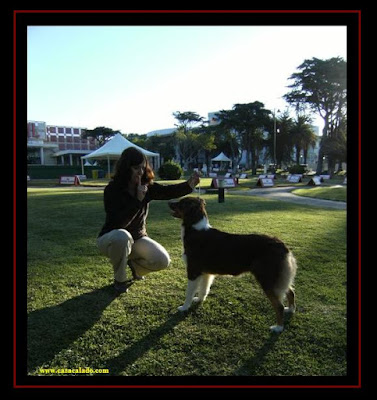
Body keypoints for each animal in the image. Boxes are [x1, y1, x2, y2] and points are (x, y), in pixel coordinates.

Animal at [168, 195, 296, 332]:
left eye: (181, 203)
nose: (168, 202)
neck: (195, 229)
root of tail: (282, 245)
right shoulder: (206, 272)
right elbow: (204, 289)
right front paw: (199, 300)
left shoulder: (193, 271)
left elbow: (189, 293)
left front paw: (184, 307)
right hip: (277, 279)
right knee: (290, 292)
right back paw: (290, 310)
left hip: (267, 280)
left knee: (279, 306)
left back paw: (278, 327)